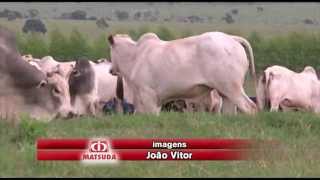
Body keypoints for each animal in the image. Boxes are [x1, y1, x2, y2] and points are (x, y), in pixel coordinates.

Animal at [107, 31, 258, 114]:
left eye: (111, 49)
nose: (110, 70)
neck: (135, 56)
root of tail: (232, 38)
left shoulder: (148, 96)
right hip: (226, 94)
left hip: (232, 88)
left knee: (250, 107)